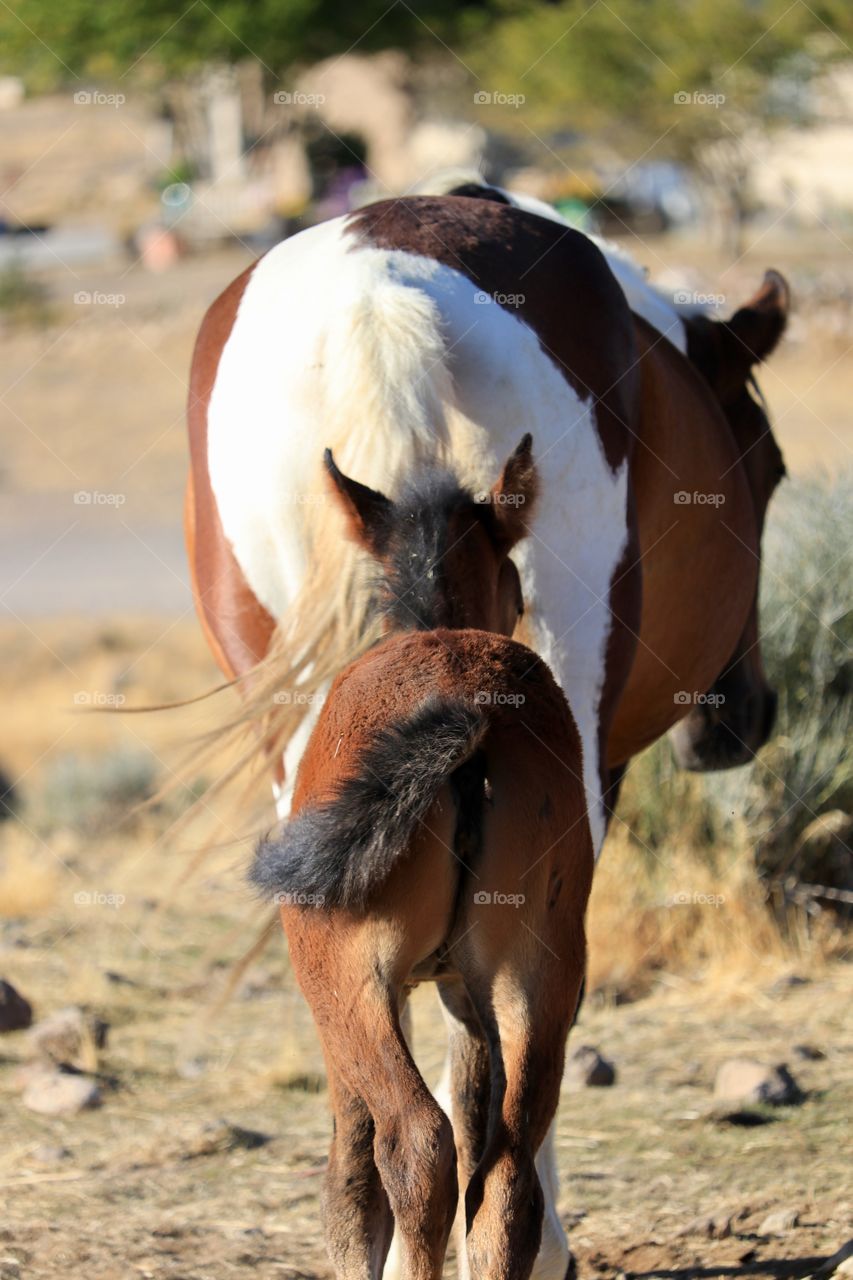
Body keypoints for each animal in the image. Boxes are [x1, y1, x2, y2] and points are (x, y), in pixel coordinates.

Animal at [249, 437, 589, 1280]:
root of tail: (466, 708)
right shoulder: (466, 996)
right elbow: (474, 1115)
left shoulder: (354, 1004)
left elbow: (351, 1174)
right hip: (536, 977)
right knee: (505, 1174)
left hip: (347, 979)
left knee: (415, 1146)